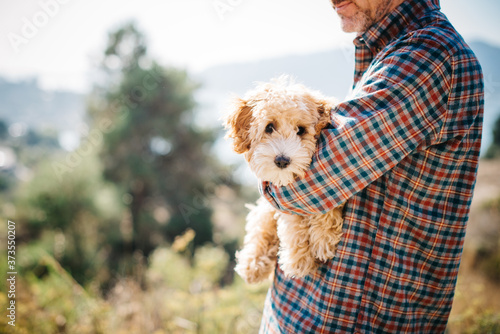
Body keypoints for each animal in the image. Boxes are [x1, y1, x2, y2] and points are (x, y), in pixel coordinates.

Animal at [224, 77, 344, 284]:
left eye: (301, 130)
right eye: (269, 127)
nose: (282, 160)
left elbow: (327, 196)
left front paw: (324, 237)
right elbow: (292, 219)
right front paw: (299, 260)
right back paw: (252, 265)